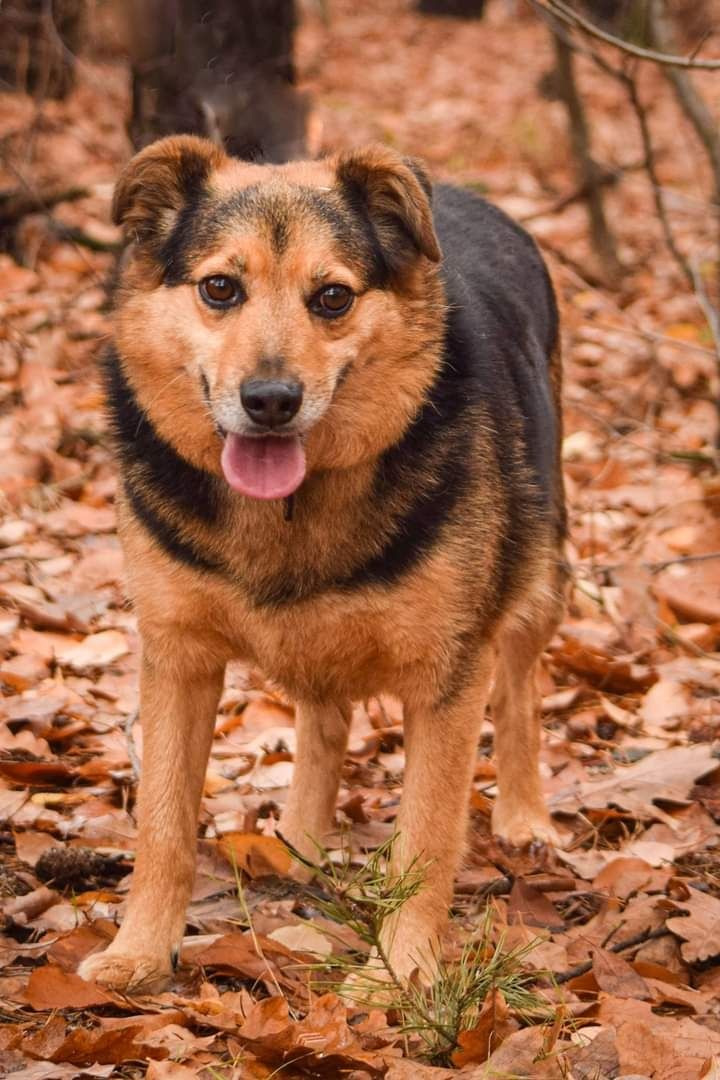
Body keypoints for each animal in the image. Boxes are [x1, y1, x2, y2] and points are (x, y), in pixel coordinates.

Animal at [77, 137, 561, 993]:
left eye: (332, 298)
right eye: (220, 288)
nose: (271, 400)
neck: (291, 508)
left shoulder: (448, 676)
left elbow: (427, 838)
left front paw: (401, 975)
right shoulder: (176, 657)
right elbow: (163, 826)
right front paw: (139, 951)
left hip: (537, 571)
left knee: (519, 691)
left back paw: (523, 814)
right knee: (324, 718)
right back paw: (300, 841)